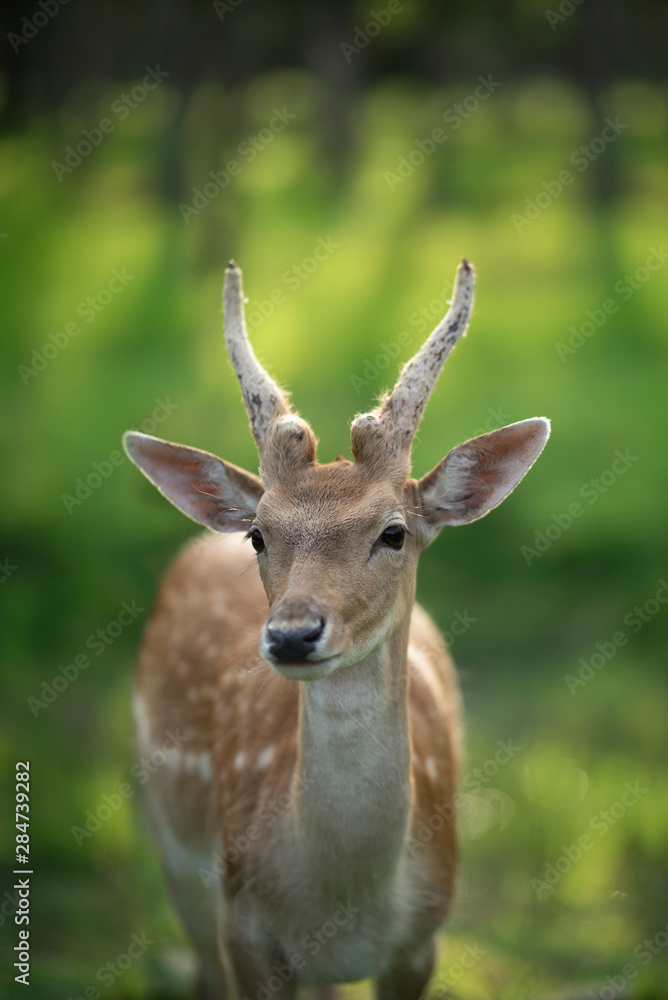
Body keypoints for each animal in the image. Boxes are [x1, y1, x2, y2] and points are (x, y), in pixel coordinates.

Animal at [122, 260, 552, 1000]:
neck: (342, 898)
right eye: (259, 534)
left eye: (394, 532)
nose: (293, 635)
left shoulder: (423, 940)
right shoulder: (243, 928)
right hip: (173, 852)